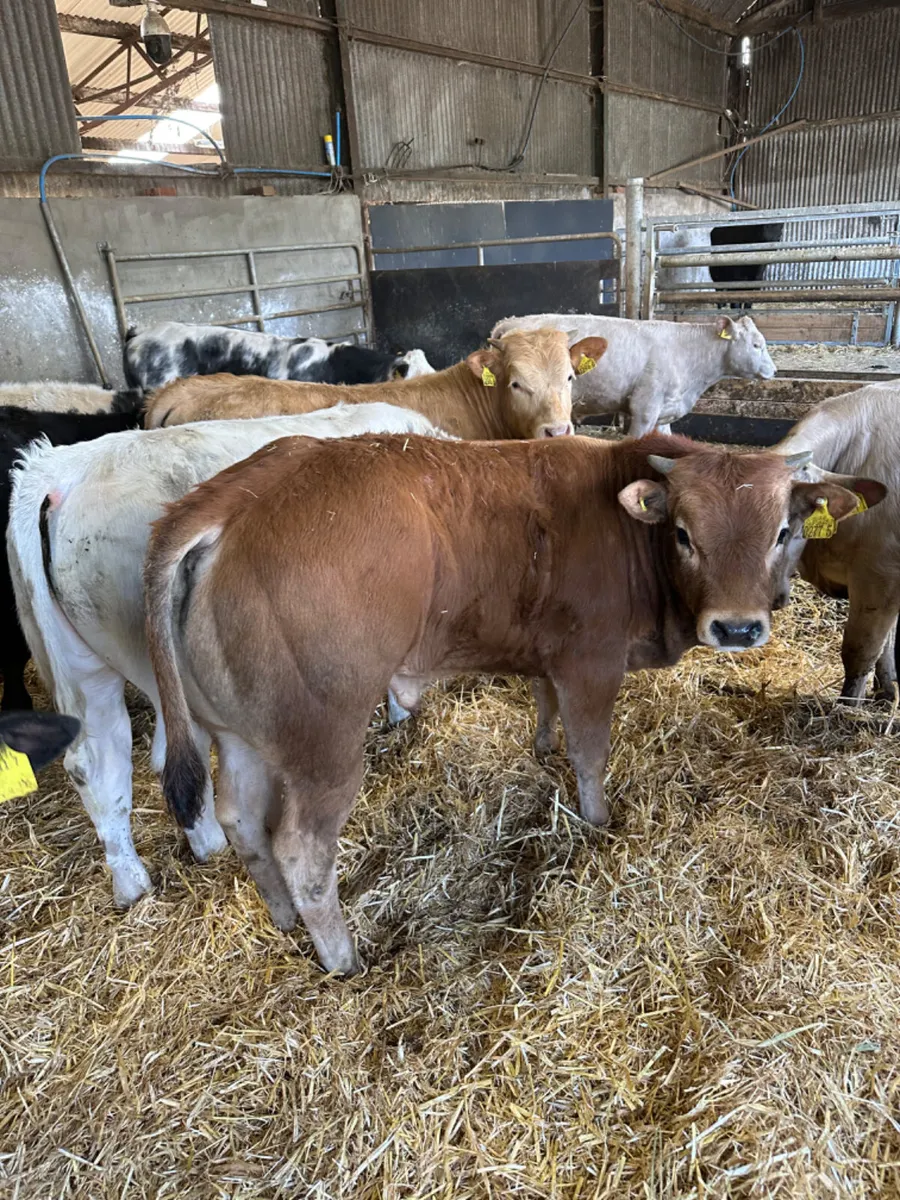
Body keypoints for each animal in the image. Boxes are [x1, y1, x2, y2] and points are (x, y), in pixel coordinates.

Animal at [143, 432, 875, 975]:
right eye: (684, 533)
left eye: (783, 532)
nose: (738, 629)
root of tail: (239, 494)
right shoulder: (590, 664)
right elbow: (590, 752)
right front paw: (597, 821)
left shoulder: (549, 654)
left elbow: (545, 706)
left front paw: (541, 748)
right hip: (324, 743)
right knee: (301, 850)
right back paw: (343, 958)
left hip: (237, 734)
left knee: (240, 822)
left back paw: (283, 919)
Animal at [771, 383, 895, 702]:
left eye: (784, 531)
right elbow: (885, 646)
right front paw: (887, 691)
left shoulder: (879, 578)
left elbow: (860, 651)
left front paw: (848, 707)